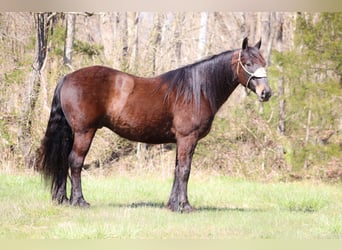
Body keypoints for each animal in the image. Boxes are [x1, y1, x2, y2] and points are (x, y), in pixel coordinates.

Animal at [36, 38, 272, 212]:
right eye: (248, 63)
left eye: (264, 62)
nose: (266, 93)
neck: (197, 91)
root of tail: (67, 77)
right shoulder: (188, 138)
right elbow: (185, 170)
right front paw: (185, 206)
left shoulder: (180, 141)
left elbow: (177, 170)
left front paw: (172, 204)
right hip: (85, 132)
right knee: (75, 162)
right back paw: (80, 201)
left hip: (72, 133)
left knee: (63, 162)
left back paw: (63, 199)